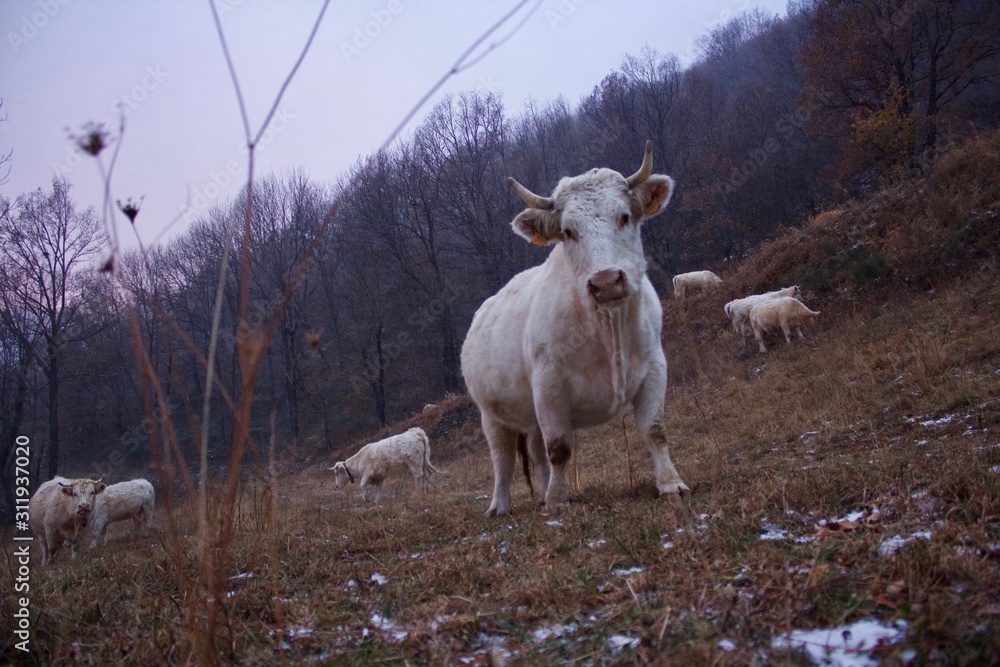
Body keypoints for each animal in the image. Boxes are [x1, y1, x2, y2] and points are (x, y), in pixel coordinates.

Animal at [461, 141, 689, 516]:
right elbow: (559, 447)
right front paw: (557, 501)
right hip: (491, 415)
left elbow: (655, 430)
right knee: (502, 458)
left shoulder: (655, 367)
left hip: (527, 416)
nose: (606, 281)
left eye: (624, 216)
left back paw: (541, 493)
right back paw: (500, 505)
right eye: (568, 231)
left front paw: (671, 484)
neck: (607, 328)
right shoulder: (549, 386)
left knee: (535, 452)